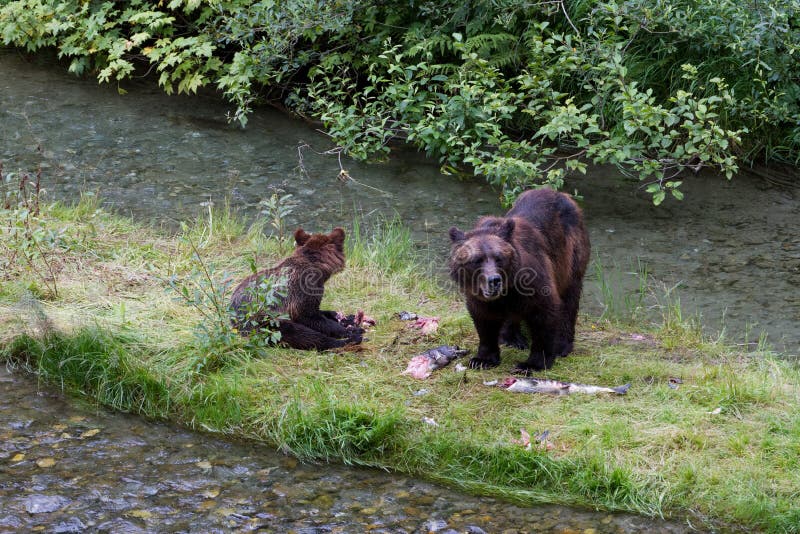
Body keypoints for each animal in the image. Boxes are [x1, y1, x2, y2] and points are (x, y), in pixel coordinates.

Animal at [227, 227, 360, 350]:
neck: (316, 267)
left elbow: (320, 312)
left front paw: (344, 316)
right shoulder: (302, 290)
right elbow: (310, 317)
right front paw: (349, 331)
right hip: (265, 319)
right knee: (297, 334)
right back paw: (348, 341)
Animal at [450, 189, 588, 372]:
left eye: (499, 258)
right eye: (477, 260)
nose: (494, 280)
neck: (509, 286)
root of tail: (562, 194)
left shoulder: (534, 278)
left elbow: (545, 312)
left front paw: (532, 363)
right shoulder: (478, 295)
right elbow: (484, 319)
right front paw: (482, 359)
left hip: (570, 255)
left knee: (570, 298)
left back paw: (562, 345)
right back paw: (511, 338)